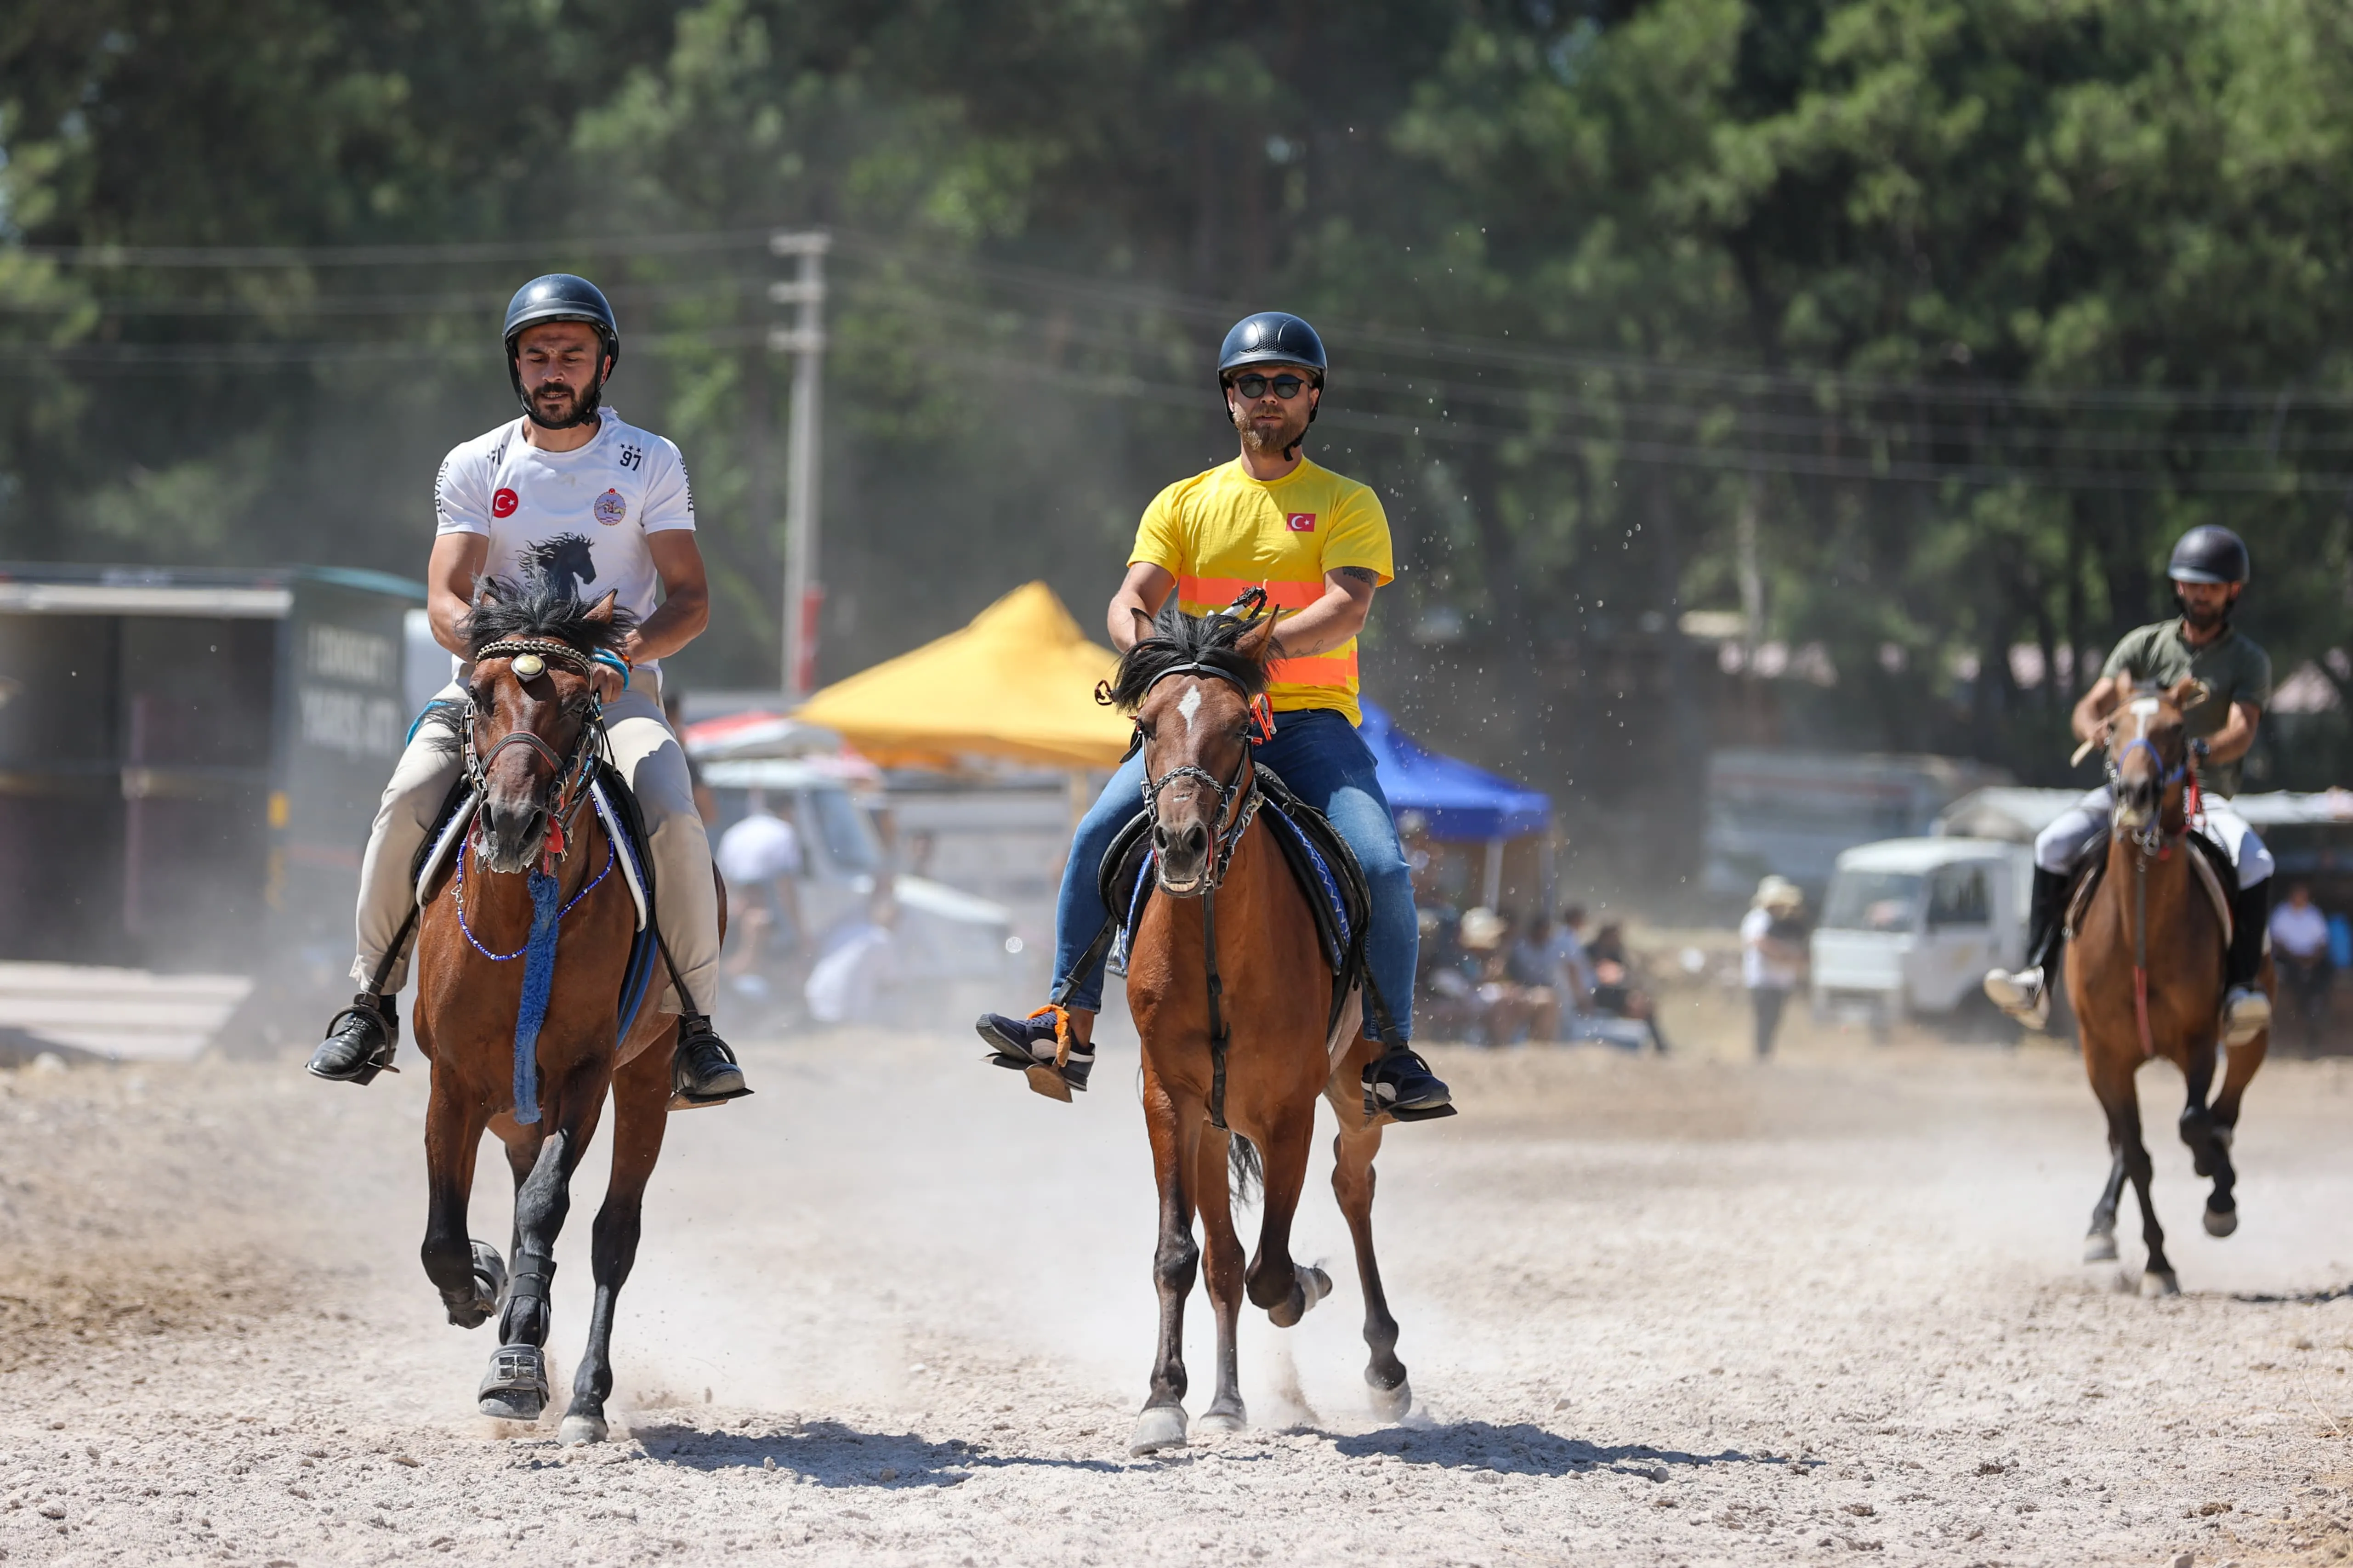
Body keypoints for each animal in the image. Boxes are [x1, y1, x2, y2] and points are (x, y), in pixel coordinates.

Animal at [409, 579, 710, 1431]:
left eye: (580, 705)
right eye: (481, 697)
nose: (513, 821)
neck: (524, 910)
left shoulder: (585, 1075)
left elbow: (547, 1209)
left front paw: (517, 1360)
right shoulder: (452, 1081)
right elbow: (445, 1234)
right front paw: (480, 1292)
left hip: (642, 1080)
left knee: (613, 1232)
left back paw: (583, 1395)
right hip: (519, 1110)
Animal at [1106, 600, 1412, 1450]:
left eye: (1242, 725)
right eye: (1145, 725)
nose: (1181, 842)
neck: (1215, 945)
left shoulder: (1289, 1111)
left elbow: (1275, 1271)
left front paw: (1309, 1282)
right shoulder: (1169, 1102)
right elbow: (1183, 1254)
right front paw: (1164, 1400)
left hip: (1355, 1090)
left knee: (1352, 1188)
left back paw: (1385, 1367)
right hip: (1214, 1130)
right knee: (1223, 1258)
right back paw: (1226, 1400)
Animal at [2070, 678, 2268, 1290]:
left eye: (2177, 729)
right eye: (2111, 726)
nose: (2135, 792)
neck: (2140, 929)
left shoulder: (2197, 1040)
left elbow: (2191, 1121)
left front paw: (2217, 1189)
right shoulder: (2102, 1056)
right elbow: (2136, 1156)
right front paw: (2157, 1262)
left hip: (2250, 1035)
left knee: (2223, 1108)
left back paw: (2218, 1178)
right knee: (2123, 1142)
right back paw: (2101, 1225)